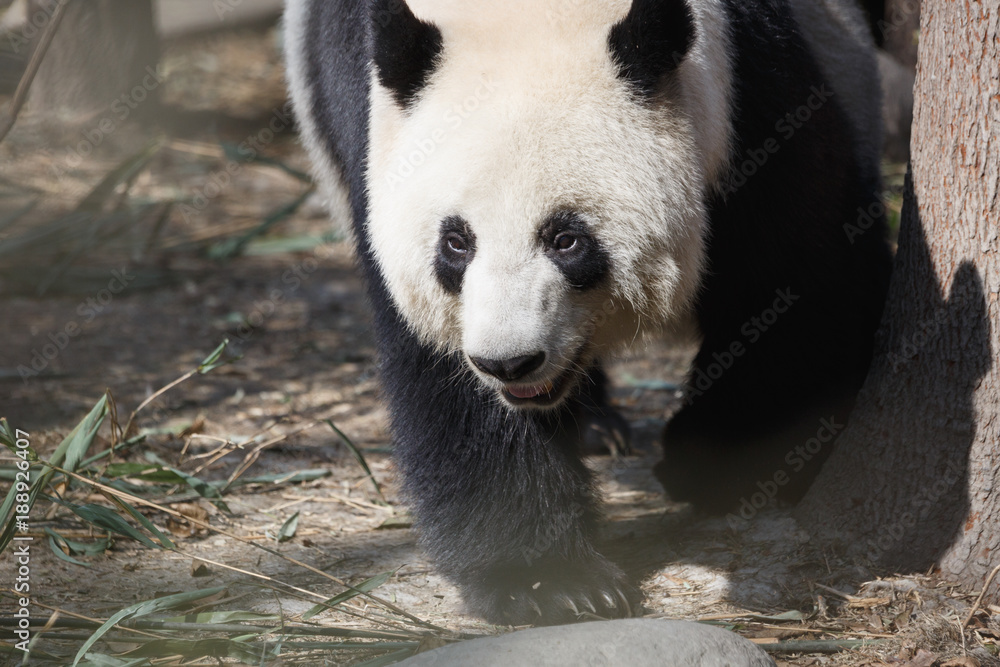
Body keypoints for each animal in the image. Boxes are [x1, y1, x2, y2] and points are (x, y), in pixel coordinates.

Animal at [285, 0, 892, 625]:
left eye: (565, 239)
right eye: (456, 243)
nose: (510, 364)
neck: (518, 15)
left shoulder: (753, 85)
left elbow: (796, 275)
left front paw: (724, 462)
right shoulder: (367, 121)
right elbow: (436, 364)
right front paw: (550, 581)